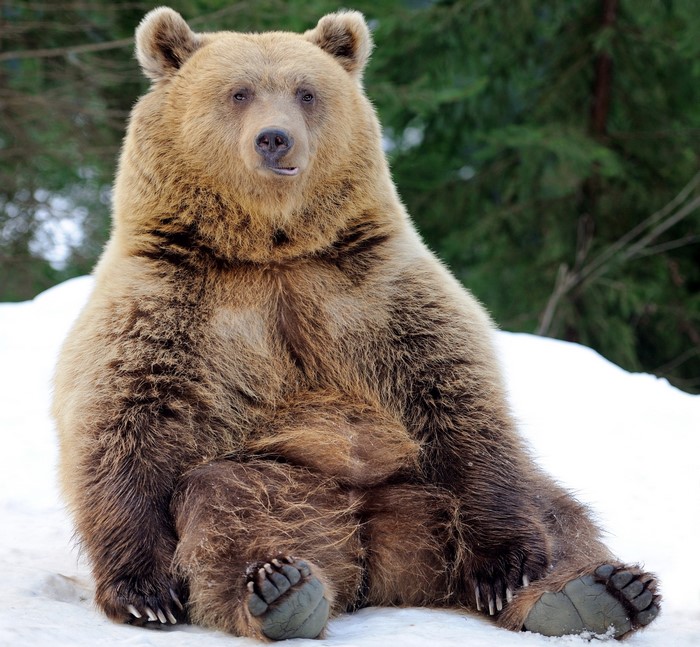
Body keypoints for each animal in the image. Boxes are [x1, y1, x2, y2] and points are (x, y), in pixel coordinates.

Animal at [52, 6, 661, 642]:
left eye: (307, 92)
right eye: (238, 92)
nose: (275, 138)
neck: (272, 249)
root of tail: (374, 554)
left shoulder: (377, 290)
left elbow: (459, 396)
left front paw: (506, 566)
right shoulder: (168, 302)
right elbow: (124, 421)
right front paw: (145, 591)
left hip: (420, 489)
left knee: (551, 506)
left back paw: (597, 591)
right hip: (287, 484)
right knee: (228, 503)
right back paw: (282, 589)